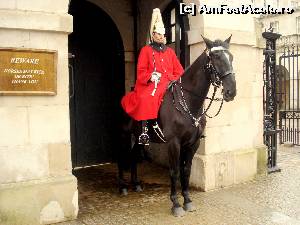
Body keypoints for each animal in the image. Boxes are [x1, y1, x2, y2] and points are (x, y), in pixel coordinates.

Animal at [117, 36, 237, 217]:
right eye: (216, 57)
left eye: (231, 57)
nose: (231, 91)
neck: (189, 102)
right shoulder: (174, 144)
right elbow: (174, 171)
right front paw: (175, 204)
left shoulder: (193, 143)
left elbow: (186, 170)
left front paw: (187, 200)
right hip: (124, 136)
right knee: (121, 157)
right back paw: (123, 187)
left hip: (139, 139)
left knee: (133, 156)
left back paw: (136, 184)